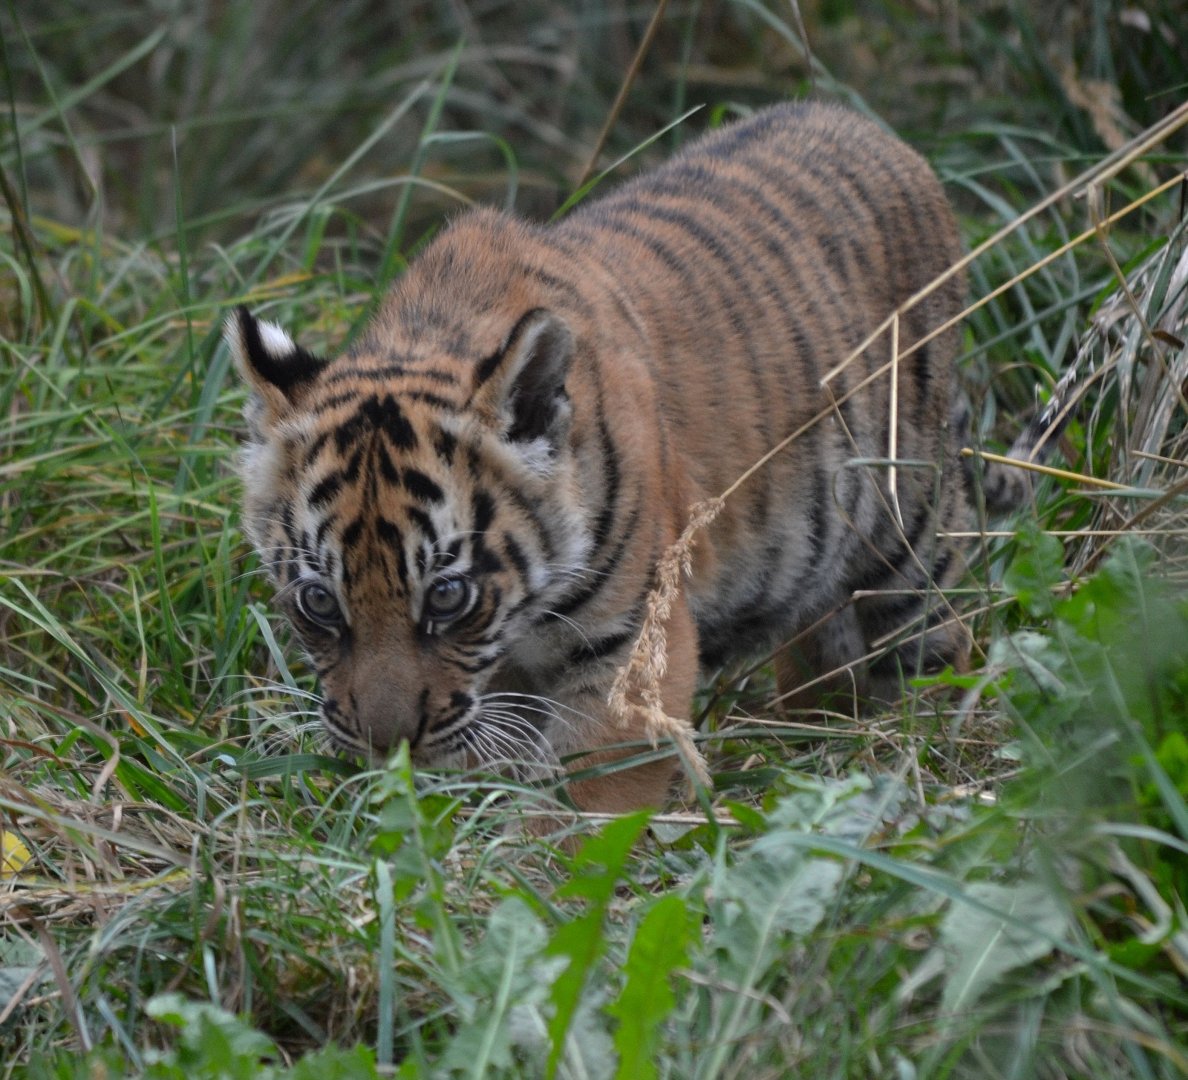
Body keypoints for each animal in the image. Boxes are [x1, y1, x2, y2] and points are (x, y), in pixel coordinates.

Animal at [226, 101, 982, 818]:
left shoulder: (630, 648)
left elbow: (581, 801)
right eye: (319, 601)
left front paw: (534, 856)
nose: (388, 747)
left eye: (447, 595)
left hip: (907, 540)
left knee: (940, 642)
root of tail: (873, 130)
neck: (520, 621)